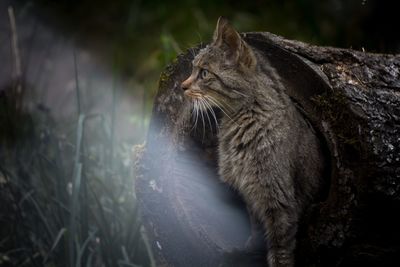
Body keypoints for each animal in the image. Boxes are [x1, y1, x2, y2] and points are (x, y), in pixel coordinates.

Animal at [181, 17, 324, 267]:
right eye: (192, 69)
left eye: (204, 73)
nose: (182, 86)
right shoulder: (251, 195)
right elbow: (257, 229)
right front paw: (250, 251)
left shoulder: (279, 202)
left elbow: (280, 247)